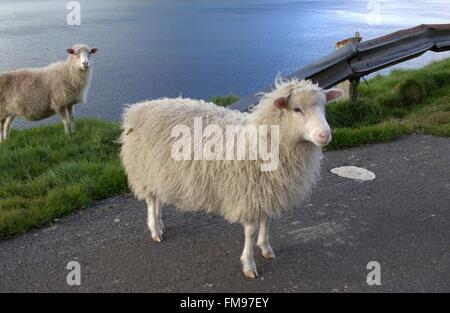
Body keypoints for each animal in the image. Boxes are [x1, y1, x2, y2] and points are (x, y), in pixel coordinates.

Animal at [119, 78, 342, 278]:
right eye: (297, 109)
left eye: (323, 107)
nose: (325, 135)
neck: (262, 140)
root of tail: (138, 108)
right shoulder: (248, 194)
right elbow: (251, 231)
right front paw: (249, 265)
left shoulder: (267, 190)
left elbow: (267, 221)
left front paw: (266, 248)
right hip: (144, 169)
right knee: (151, 200)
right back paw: (155, 229)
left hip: (159, 172)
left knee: (157, 199)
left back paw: (160, 223)